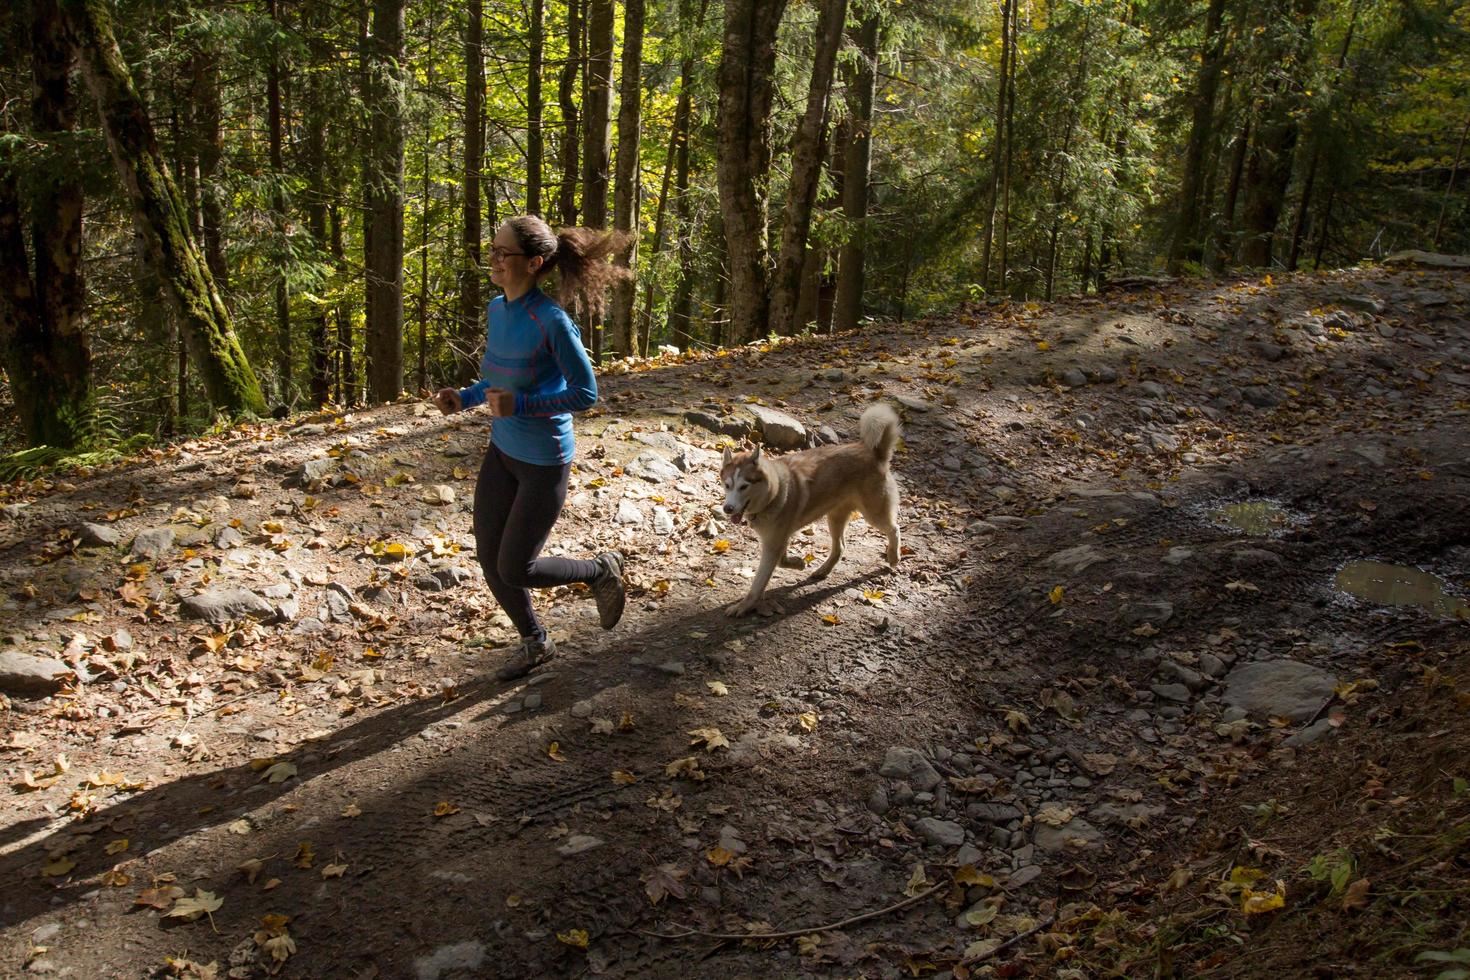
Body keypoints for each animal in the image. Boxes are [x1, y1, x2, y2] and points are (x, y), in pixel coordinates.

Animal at [720, 402, 899, 617]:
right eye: (727, 485)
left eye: (744, 486)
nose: (728, 508)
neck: (775, 493)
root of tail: (876, 454)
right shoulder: (778, 540)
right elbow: (782, 560)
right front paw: (798, 563)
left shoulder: (773, 544)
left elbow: (759, 583)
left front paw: (744, 606)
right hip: (835, 517)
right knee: (840, 547)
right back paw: (823, 570)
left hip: (874, 513)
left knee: (894, 529)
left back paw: (893, 557)